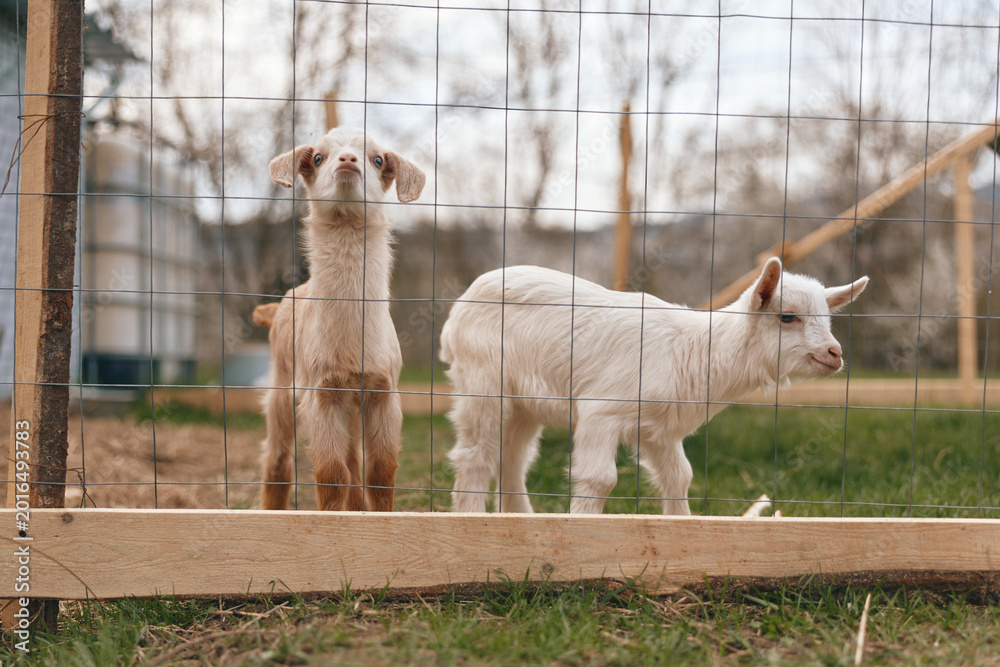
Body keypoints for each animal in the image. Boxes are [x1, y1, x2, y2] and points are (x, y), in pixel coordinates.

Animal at [259, 128, 425, 511]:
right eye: (318, 157)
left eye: (377, 159)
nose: (348, 160)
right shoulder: (321, 392)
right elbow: (331, 473)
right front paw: (332, 517)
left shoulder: (384, 390)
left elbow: (380, 472)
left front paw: (377, 516)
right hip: (283, 385)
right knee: (278, 459)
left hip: (350, 406)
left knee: (352, 459)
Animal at [440, 258, 867, 515]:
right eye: (787, 317)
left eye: (828, 317)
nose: (834, 353)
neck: (697, 350)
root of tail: (460, 306)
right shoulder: (602, 411)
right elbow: (600, 478)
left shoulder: (660, 429)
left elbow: (681, 476)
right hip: (481, 380)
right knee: (476, 454)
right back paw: (470, 518)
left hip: (524, 402)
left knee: (512, 457)